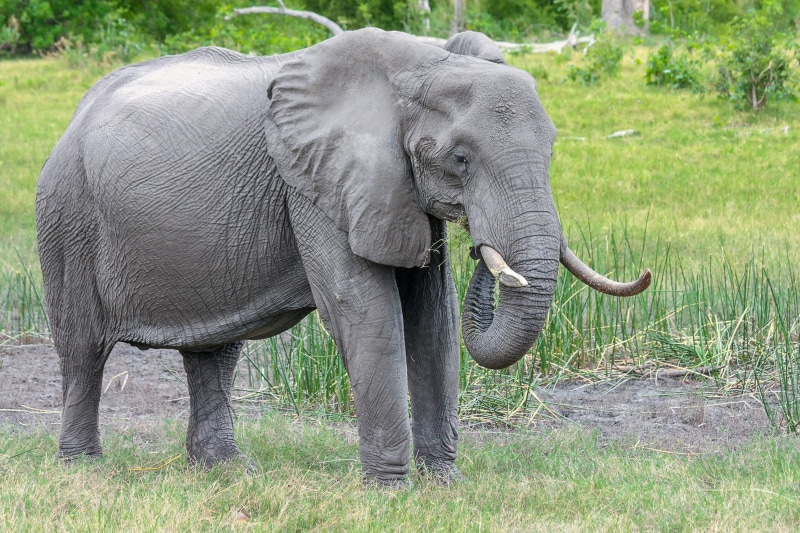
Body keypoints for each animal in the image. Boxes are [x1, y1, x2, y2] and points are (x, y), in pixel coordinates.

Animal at [39, 29, 648, 486]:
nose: (481, 248)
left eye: (552, 150)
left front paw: (445, 484)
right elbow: (364, 311)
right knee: (83, 348)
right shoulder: (312, 181)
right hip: (68, 215)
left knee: (215, 351)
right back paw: (84, 468)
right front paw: (391, 492)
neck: (418, 66)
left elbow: (435, 318)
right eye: (460, 158)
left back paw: (228, 471)